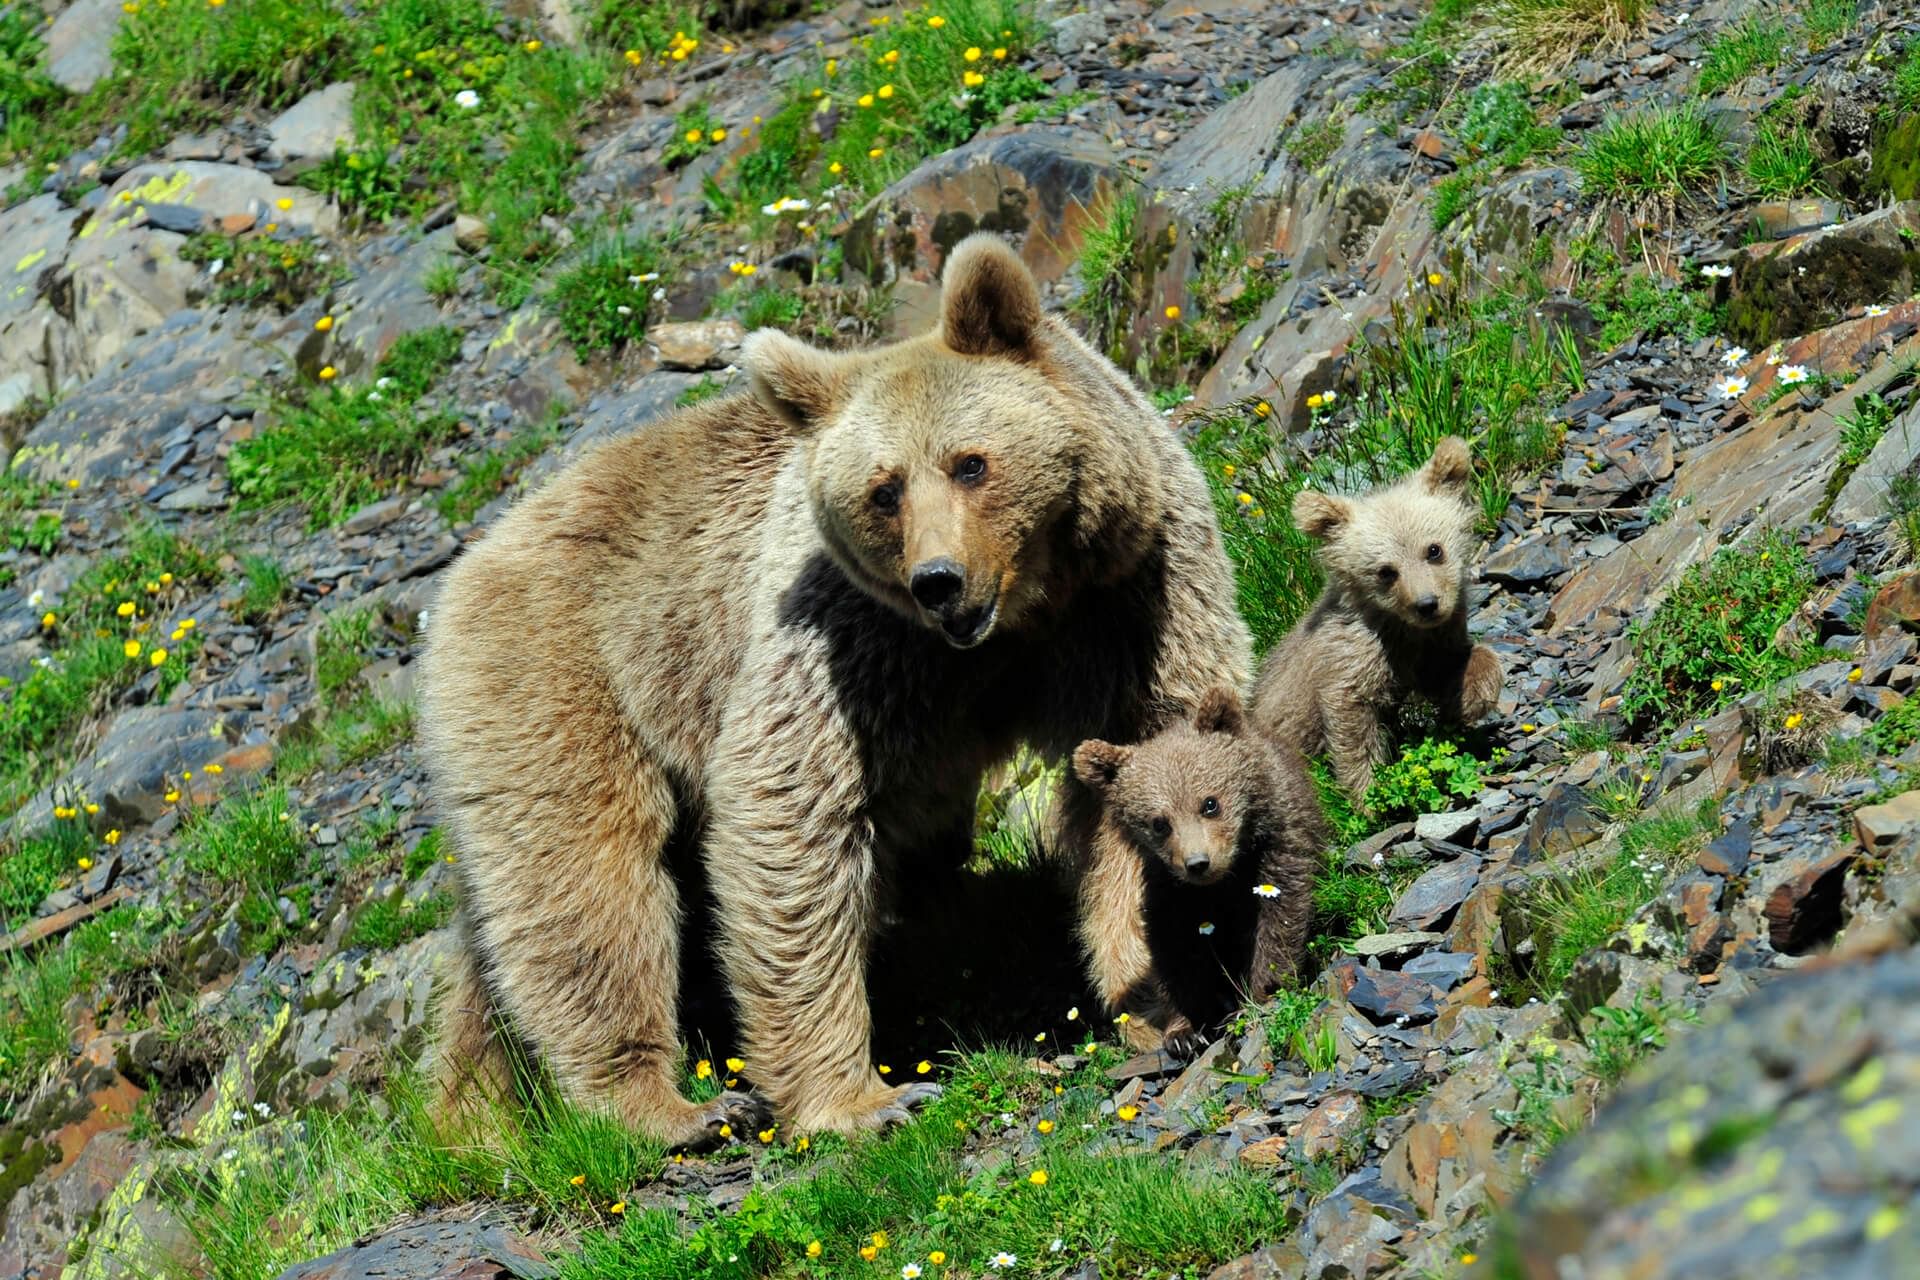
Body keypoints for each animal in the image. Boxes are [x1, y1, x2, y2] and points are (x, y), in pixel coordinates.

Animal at [420, 235, 1251, 1143]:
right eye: (884, 489)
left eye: (970, 463)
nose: (939, 580)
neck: (1021, 618)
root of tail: (472, 559)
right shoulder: (848, 647)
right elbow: (791, 817)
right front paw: (863, 1099)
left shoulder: (1132, 598)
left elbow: (1142, 768)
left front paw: (1166, 1005)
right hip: (570, 679)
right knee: (587, 887)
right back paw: (665, 1104)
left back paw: (474, 1113)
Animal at [1075, 690, 1328, 1059]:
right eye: (1159, 823)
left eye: (1210, 803)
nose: (1198, 863)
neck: (1226, 880)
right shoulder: (1167, 889)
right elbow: (1174, 952)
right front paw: (1184, 1031)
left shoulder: (1278, 846)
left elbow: (1279, 920)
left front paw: (1260, 995)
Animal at [1251, 435, 1505, 805]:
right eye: (1386, 571)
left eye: (1434, 550)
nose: (1427, 604)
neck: (1399, 627)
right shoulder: (1353, 657)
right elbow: (1352, 723)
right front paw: (1370, 796)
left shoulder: (1427, 644)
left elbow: (1450, 665)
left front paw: (1473, 694)